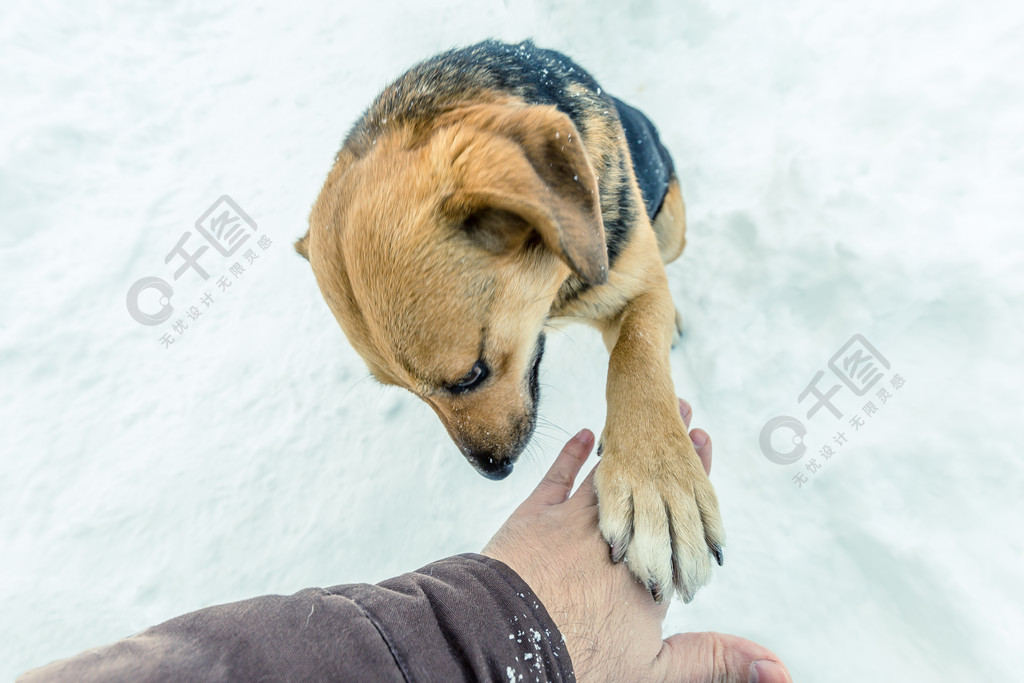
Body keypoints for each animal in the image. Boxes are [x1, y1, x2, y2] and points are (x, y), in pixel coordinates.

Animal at [296, 40, 724, 602]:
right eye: (407, 394)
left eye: (470, 375)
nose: (494, 472)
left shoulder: (637, 279)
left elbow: (636, 352)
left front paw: (657, 480)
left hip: (670, 224)